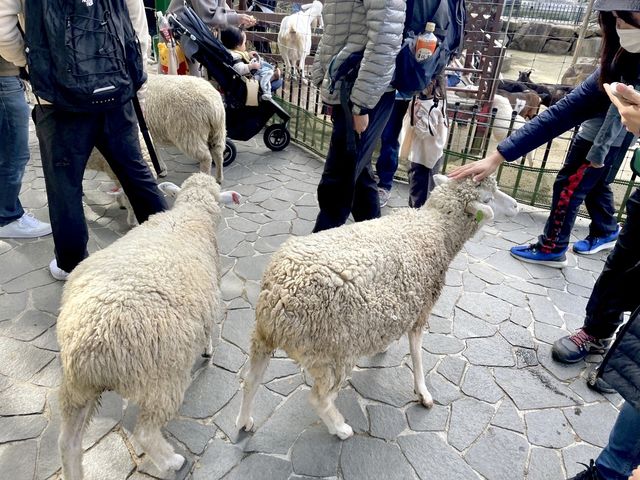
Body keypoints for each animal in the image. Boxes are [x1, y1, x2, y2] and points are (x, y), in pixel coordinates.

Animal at [57, 173, 240, 480]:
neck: (191, 213)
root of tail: (89, 346)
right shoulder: (212, 294)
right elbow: (208, 330)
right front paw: (207, 350)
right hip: (161, 381)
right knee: (145, 432)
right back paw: (172, 462)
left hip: (77, 389)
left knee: (67, 442)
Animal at [236, 175, 520, 438]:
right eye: (488, 199)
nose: (517, 206)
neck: (435, 228)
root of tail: (278, 299)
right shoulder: (421, 310)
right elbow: (417, 354)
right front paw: (423, 392)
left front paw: (383, 347)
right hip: (332, 353)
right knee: (319, 399)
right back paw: (340, 428)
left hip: (263, 338)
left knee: (251, 380)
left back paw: (244, 420)